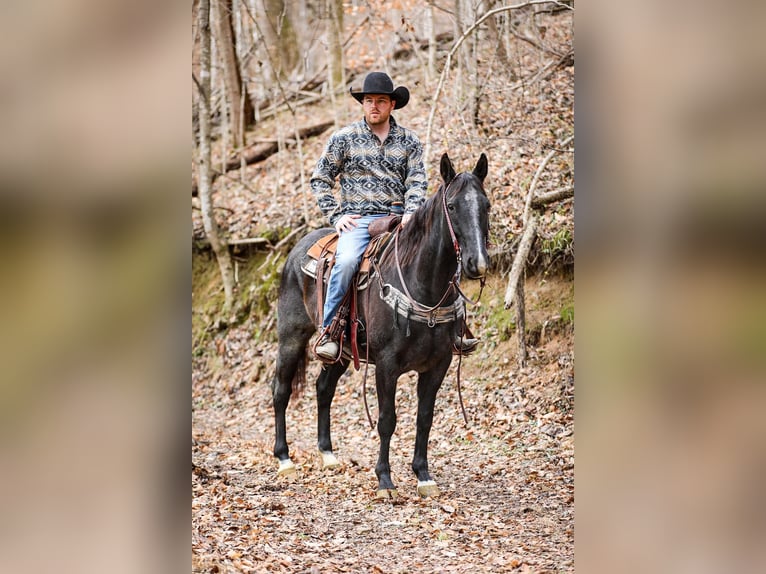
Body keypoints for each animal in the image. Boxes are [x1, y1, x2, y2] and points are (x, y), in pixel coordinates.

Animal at [272, 153, 492, 500]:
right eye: (453, 206)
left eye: (486, 205)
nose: (478, 263)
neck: (422, 286)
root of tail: (298, 249)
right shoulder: (387, 366)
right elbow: (387, 420)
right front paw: (385, 480)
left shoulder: (438, 365)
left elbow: (424, 419)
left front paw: (423, 476)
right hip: (291, 337)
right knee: (281, 389)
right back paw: (284, 459)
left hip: (342, 352)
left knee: (324, 389)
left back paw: (328, 455)